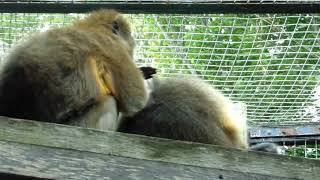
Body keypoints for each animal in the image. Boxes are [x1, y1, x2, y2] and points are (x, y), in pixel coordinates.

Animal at [0, 9, 148, 131]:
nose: (133, 41)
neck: (93, 26)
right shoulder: (113, 46)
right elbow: (135, 101)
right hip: (81, 124)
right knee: (109, 103)